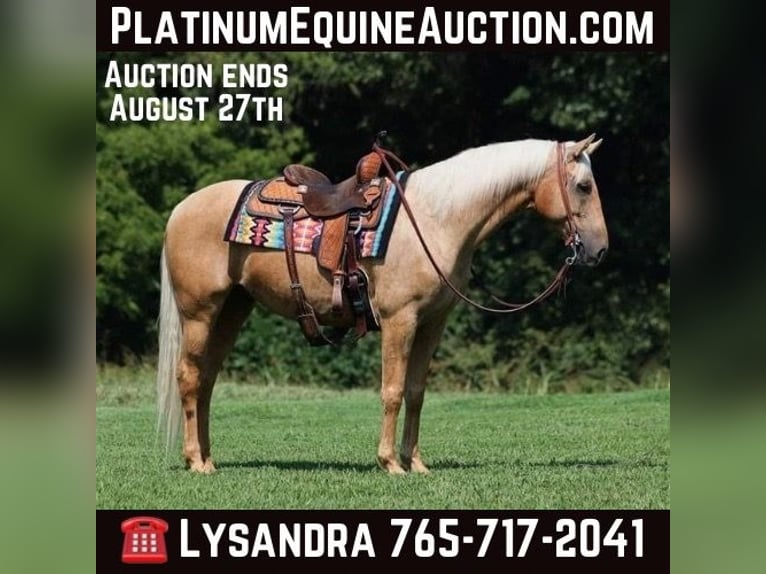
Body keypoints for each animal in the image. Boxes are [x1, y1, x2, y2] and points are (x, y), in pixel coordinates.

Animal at [156, 134, 608, 475]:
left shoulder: (432, 322)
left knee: (207, 380)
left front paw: (416, 463)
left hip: (233, 309)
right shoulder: (399, 319)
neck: (434, 221)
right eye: (584, 186)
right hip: (199, 312)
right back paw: (196, 461)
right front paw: (390, 463)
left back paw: (208, 458)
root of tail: (181, 208)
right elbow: (392, 390)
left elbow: (416, 391)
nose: (599, 250)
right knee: (189, 377)